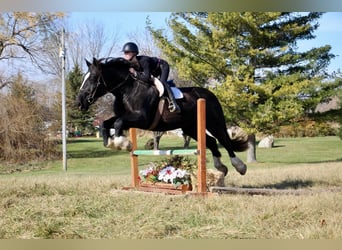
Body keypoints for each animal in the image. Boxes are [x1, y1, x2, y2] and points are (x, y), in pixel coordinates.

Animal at [77, 57, 248, 177]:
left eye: (92, 78)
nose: (79, 103)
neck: (126, 90)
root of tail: (210, 94)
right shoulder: (127, 117)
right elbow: (106, 124)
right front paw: (110, 142)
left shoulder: (142, 119)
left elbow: (118, 123)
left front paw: (121, 143)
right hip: (190, 127)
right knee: (212, 142)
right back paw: (221, 168)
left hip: (214, 122)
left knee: (224, 140)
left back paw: (239, 166)